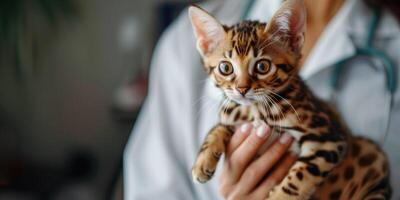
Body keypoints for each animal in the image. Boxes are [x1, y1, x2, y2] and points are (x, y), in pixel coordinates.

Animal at [188, 0, 390, 199]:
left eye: (262, 66)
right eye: (225, 68)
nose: (242, 89)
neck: (255, 109)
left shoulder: (328, 139)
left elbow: (299, 178)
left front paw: (279, 196)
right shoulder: (232, 115)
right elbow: (218, 128)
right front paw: (202, 162)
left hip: (371, 153)